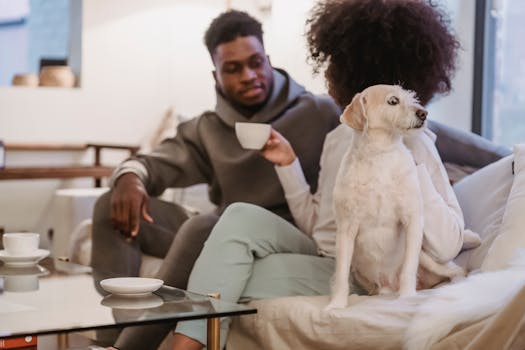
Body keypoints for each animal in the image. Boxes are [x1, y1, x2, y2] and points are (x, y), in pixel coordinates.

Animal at [328, 85, 462, 308]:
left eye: (411, 97)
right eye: (393, 101)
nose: (424, 113)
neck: (380, 154)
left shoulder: (412, 220)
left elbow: (409, 268)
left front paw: (407, 297)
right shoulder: (346, 228)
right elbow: (340, 274)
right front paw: (337, 304)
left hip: (429, 260)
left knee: (457, 270)